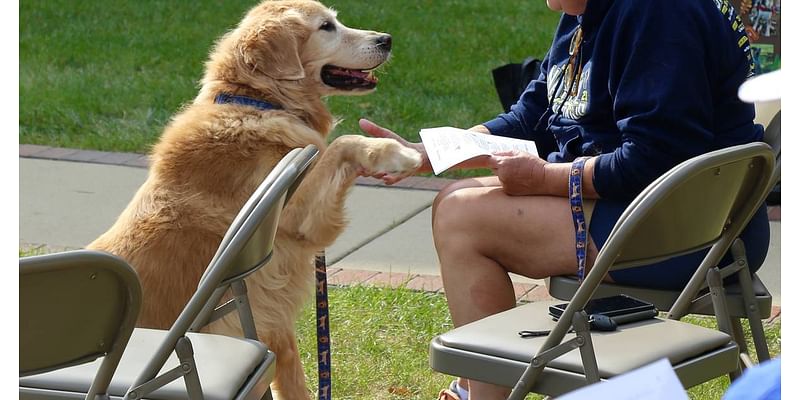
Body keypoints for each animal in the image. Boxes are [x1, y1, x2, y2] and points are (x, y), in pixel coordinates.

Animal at [86, 1, 422, 398]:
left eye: (336, 20)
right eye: (326, 27)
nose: (387, 39)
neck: (258, 103)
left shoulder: (276, 329)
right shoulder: (295, 216)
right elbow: (343, 143)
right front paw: (397, 154)